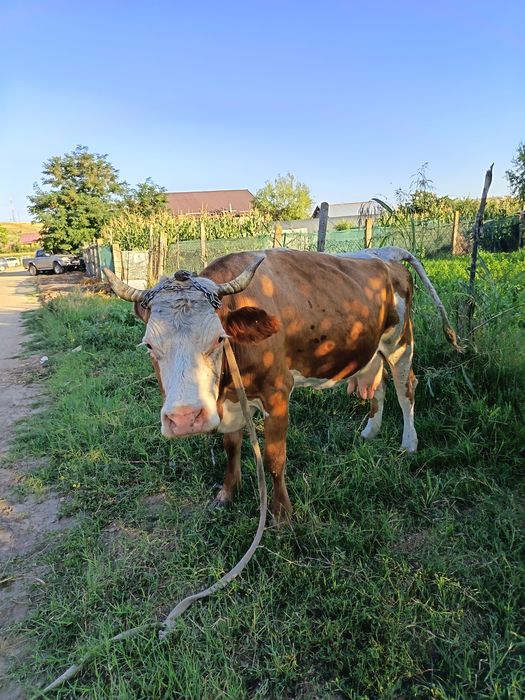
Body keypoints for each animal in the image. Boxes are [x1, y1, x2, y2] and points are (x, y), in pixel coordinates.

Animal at [103, 247, 462, 524]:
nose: (184, 419)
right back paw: (370, 431)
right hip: (371, 347)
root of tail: (386, 254)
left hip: (400, 342)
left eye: (219, 338)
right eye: (149, 345)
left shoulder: (276, 394)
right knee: (378, 384)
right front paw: (226, 494)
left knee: (406, 388)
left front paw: (281, 515)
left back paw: (409, 443)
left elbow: (275, 458)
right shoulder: (232, 401)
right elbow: (231, 448)